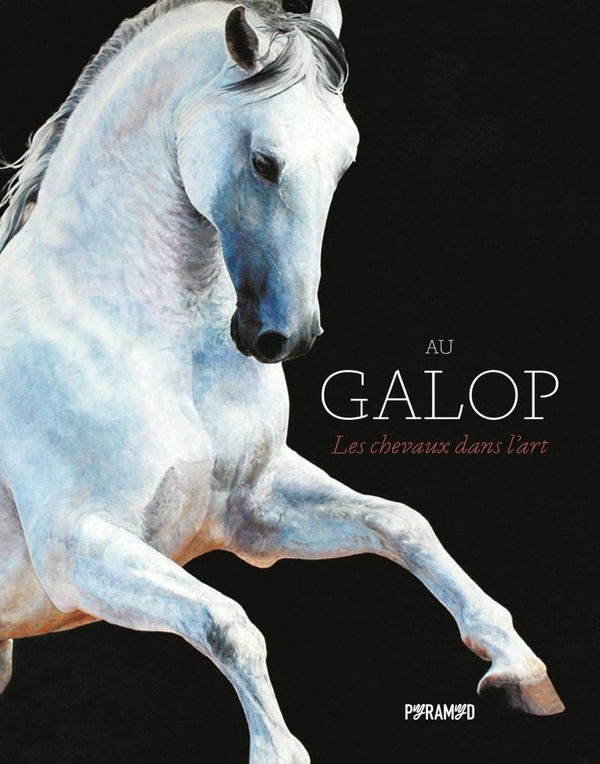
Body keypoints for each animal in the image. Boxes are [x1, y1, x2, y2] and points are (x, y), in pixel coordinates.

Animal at [0, 0, 564, 760]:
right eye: (265, 162)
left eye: (346, 159)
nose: (284, 336)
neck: (133, 333)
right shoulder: (79, 553)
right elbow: (228, 624)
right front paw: (279, 750)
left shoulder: (254, 511)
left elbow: (401, 523)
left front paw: (518, 667)